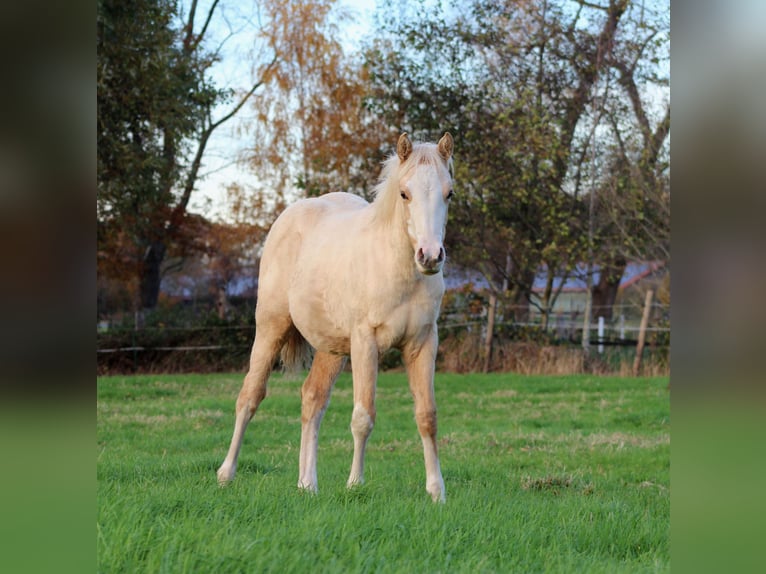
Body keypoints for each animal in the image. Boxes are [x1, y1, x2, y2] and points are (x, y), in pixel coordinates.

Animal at [217, 132, 454, 502]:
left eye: (449, 193)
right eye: (404, 193)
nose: (430, 256)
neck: (396, 268)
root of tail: (291, 216)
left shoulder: (423, 343)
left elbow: (427, 417)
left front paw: (436, 492)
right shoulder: (365, 342)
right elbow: (363, 416)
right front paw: (355, 483)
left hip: (331, 350)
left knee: (312, 400)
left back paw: (307, 484)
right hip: (271, 329)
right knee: (249, 397)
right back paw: (226, 474)